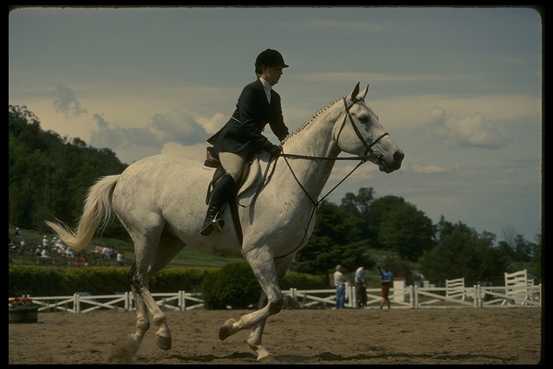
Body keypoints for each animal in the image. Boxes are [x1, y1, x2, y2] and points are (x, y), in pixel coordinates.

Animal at [45, 82, 404, 360]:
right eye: (363, 119)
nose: (397, 157)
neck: (292, 180)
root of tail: (123, 175)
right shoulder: (257, 252)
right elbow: (275, 301)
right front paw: (227, 328)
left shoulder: (282, 257)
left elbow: (271, 300)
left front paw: (257, 347)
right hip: (145, 233)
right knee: (138, 279)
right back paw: (161, 333)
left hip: (168, 242)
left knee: (138, 277)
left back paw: (137, 340)